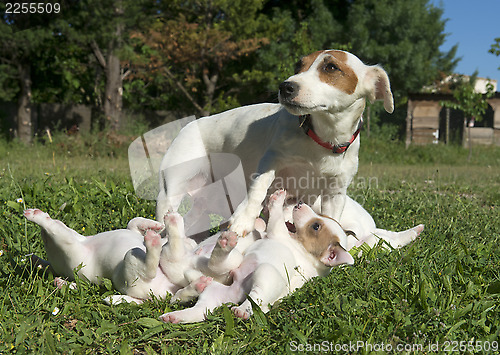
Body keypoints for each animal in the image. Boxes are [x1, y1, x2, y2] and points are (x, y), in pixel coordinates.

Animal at [157, 50, 394, 245]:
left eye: (331, 67)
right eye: (298, 66)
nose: (286, 86)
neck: (321, 139)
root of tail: (188, 126)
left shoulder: (335, 192)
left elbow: (331, 217)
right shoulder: (271, 160)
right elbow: (257, 190)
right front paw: (243, 220)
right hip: (172, 189)